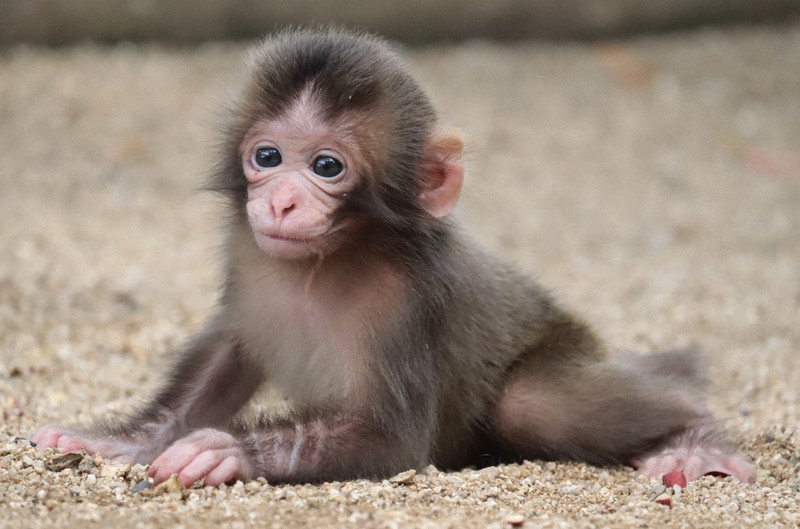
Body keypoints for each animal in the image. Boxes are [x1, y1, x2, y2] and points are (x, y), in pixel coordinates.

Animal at [32, 27, 754, 488]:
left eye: (326, 166)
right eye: (267, 156)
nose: (282, 202)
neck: (327, 260)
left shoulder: (406, 295)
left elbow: (395, 439)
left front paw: (227, 449)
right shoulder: (248, 257)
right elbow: (225, 358)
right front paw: (124, 439)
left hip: (568, 351)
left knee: (533, 401)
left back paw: (693, 434)